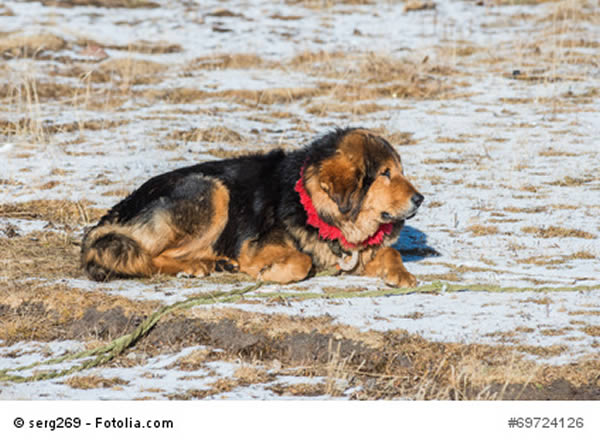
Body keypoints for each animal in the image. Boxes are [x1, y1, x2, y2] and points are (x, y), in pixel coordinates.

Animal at [82, 128, 424, 288]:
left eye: (400, 171)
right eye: (385, 174)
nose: (420, 199)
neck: (315, 206)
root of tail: (119, 208)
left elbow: (389, 252)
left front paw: (401, 274)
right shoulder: (254, 245)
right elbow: (301, 260)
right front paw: (269, 272)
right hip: (212, 191)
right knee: (149, 256)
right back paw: (197, 266)